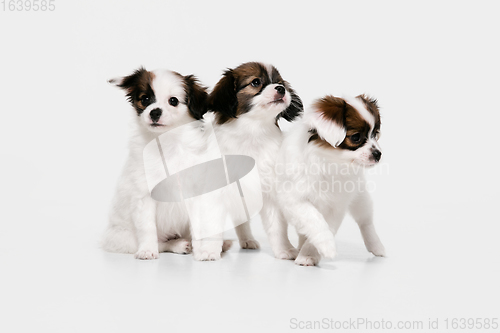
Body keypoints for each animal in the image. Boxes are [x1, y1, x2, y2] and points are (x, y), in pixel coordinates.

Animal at [205, 63, 302, 260]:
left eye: (280, 83)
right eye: (256, 82)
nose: (281, 89)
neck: (253, 133)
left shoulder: (270, 193)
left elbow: (277, 227)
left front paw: (285, 250)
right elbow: (212, 223)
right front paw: (210, 251)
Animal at [278, 94, 386, 266]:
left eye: (375, 134)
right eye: (356, 137)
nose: (378, 154)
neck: (330, 162)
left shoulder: (335, 206)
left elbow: (326, 224)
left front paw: (309, 253)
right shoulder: (294, 200)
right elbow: (314, 220)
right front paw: (326, 246)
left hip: (361, 198)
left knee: (365, 221)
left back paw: (377, 246)